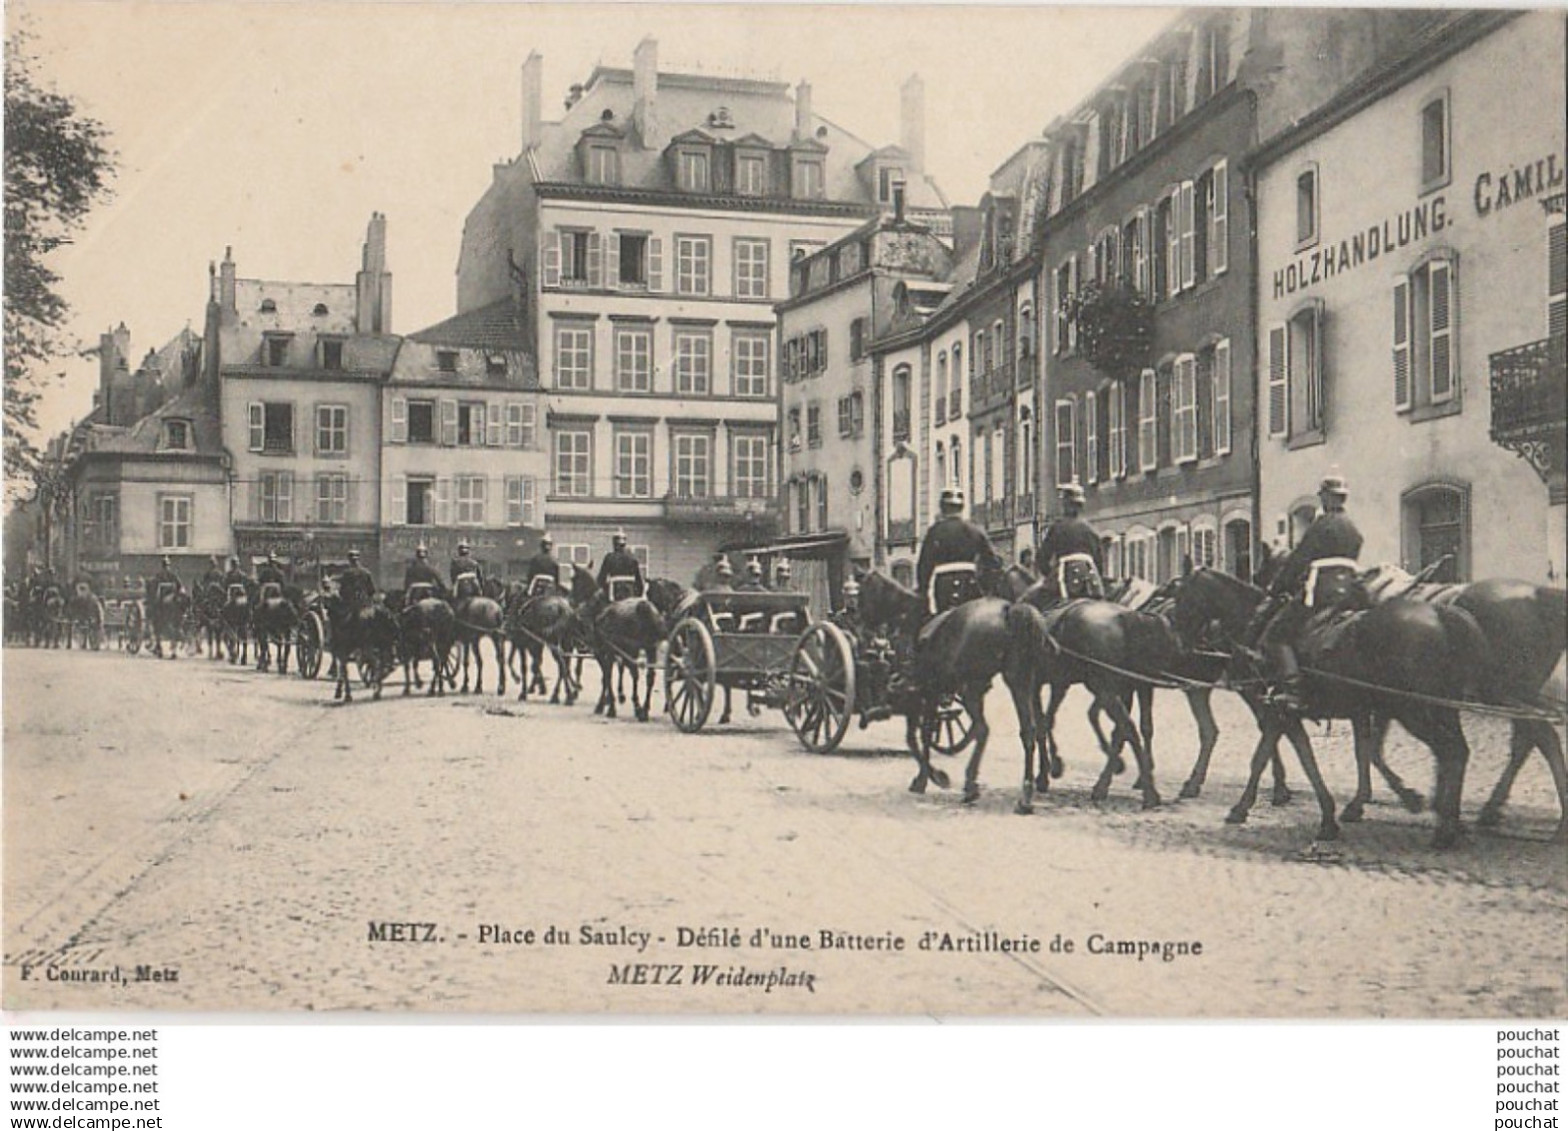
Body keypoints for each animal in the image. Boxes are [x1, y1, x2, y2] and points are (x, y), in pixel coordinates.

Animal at [846, 574, 1053, 809]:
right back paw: (1026, 794)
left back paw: (972, 786)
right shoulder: (932, 696)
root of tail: (1009, 610)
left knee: (983, 729)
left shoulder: (922, 695)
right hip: (1019, 681)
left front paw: (930, 778)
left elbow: (918, 738)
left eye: (863, 593)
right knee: (1030, 730)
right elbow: (924, 736)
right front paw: (929, 776)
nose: (858, 622)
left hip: (973, 688)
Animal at [1166, 564, 1492, 847]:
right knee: (1458, 752)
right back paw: (1451, 822)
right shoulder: (1299, 715)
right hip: (1440, 710)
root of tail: (1441, 614)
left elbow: (1266, 758)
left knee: (1450, 752)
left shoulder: (1278, 712)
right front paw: (1334, 813)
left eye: (1181, 598)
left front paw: (1242, 807)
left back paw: (1445, 829)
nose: (1180, 643)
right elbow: (1323, 755)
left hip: (1414, 711)